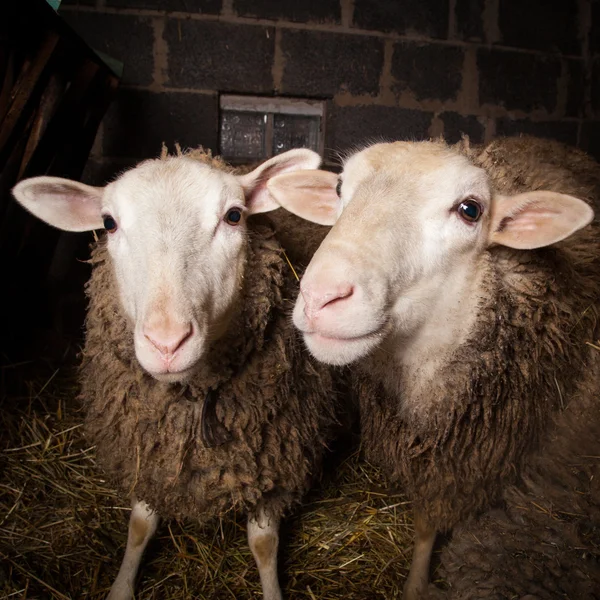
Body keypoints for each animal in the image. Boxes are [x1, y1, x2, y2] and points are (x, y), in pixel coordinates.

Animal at [11, 146, 338, 600]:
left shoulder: (278, 465)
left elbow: (263, 542)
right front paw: (121, 587)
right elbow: (140, 526)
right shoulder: (149, 455)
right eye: (108, 223)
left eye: (234, 216)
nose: (166, 342)